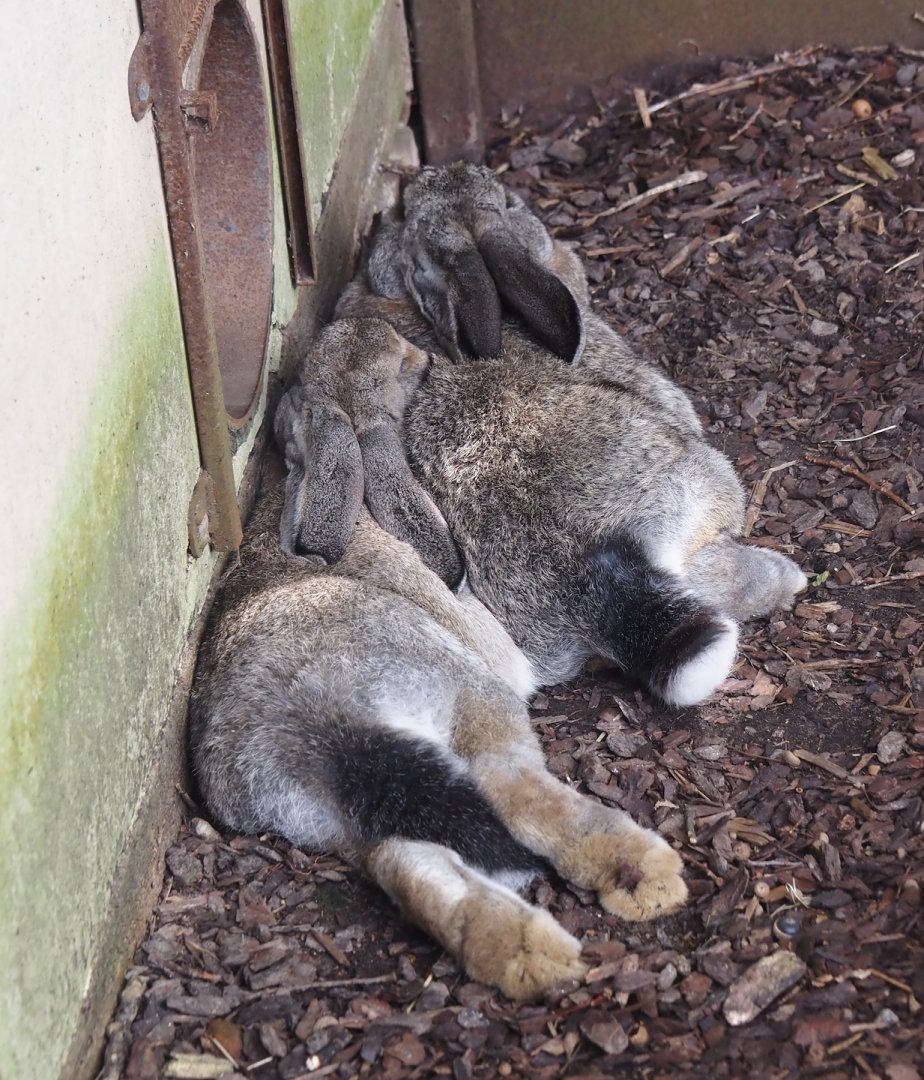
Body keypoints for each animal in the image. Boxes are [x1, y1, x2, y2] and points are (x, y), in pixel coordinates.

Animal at [188, 317, 689, 1001]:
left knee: (408, 865)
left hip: (352, 820)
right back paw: (639, 874)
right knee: (515, 789)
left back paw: (522, 951)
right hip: (465, 695)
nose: (425, 359)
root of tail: (306, 725)